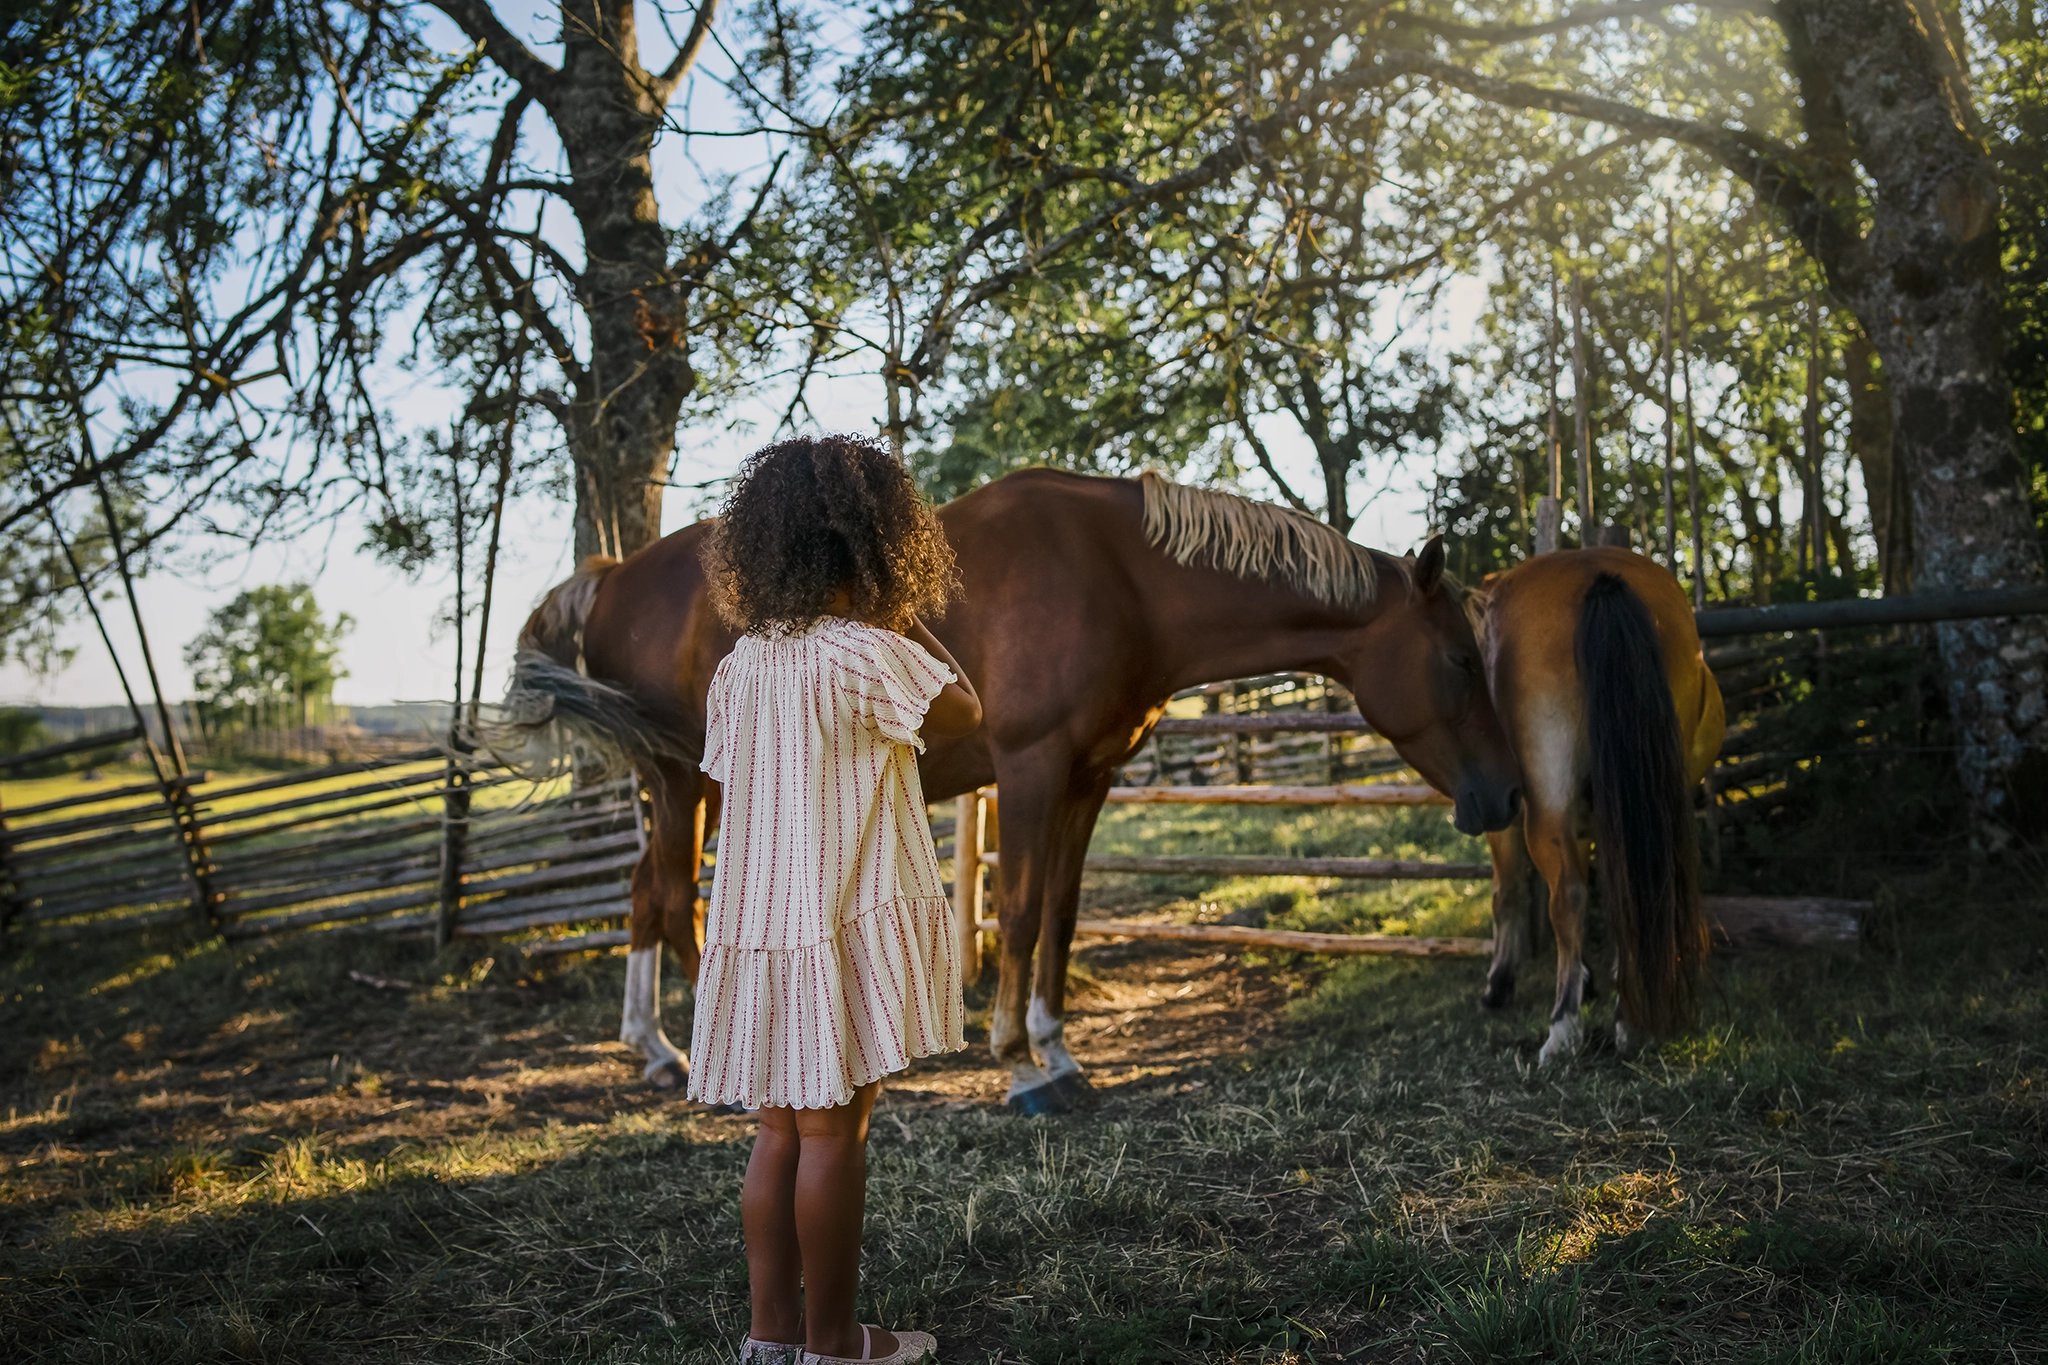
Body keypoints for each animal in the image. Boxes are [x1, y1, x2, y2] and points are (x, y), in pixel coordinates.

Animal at [499, 466, 1523, 1113]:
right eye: (1457, 659)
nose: (1508, 795)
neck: (1121, 574)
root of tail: (614, 576)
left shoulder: (1088, 778)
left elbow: (1061, 916)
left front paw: (1056, 1048)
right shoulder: (1031, 768)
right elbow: (1025, 912)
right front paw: (1021, 1065)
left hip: (684, 788)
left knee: (646, 897)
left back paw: (654, 1049)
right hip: (681, 782)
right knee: (676, 901)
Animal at [1466, 548, 1720, 1064]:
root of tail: (1596, 573)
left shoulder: (1503, 816)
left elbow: (1507, 894)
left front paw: (1499, 985)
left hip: (1547, 805)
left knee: (1568, 897)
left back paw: (1564, 1029)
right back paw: (1632, 1016)